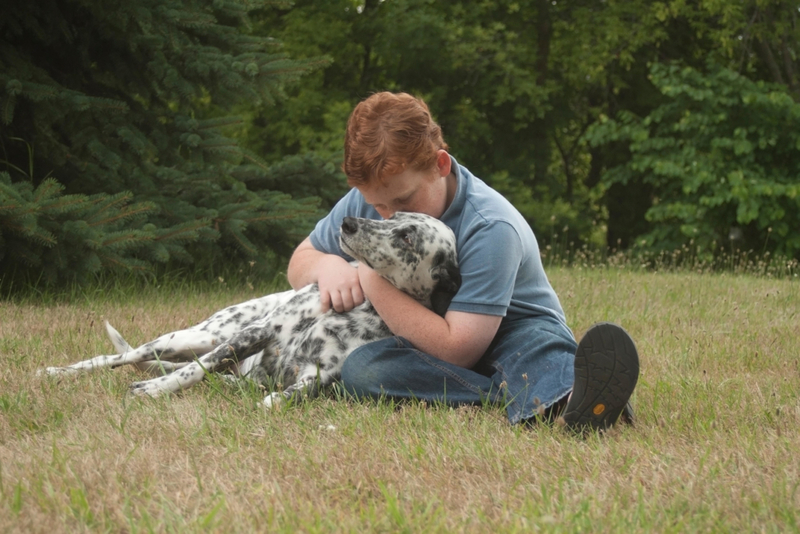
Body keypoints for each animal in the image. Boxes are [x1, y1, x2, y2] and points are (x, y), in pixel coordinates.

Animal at [40, 214, 460, 410]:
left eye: (407, 236)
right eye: (391, 215)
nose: (348, 222)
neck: (362, 304)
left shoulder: (319, 376)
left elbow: (283, 398)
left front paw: (267, 401)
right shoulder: (257, 334)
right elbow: (193, 372)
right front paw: (155, 390)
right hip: (197, 336)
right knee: (119, 358)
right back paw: (57, 372)